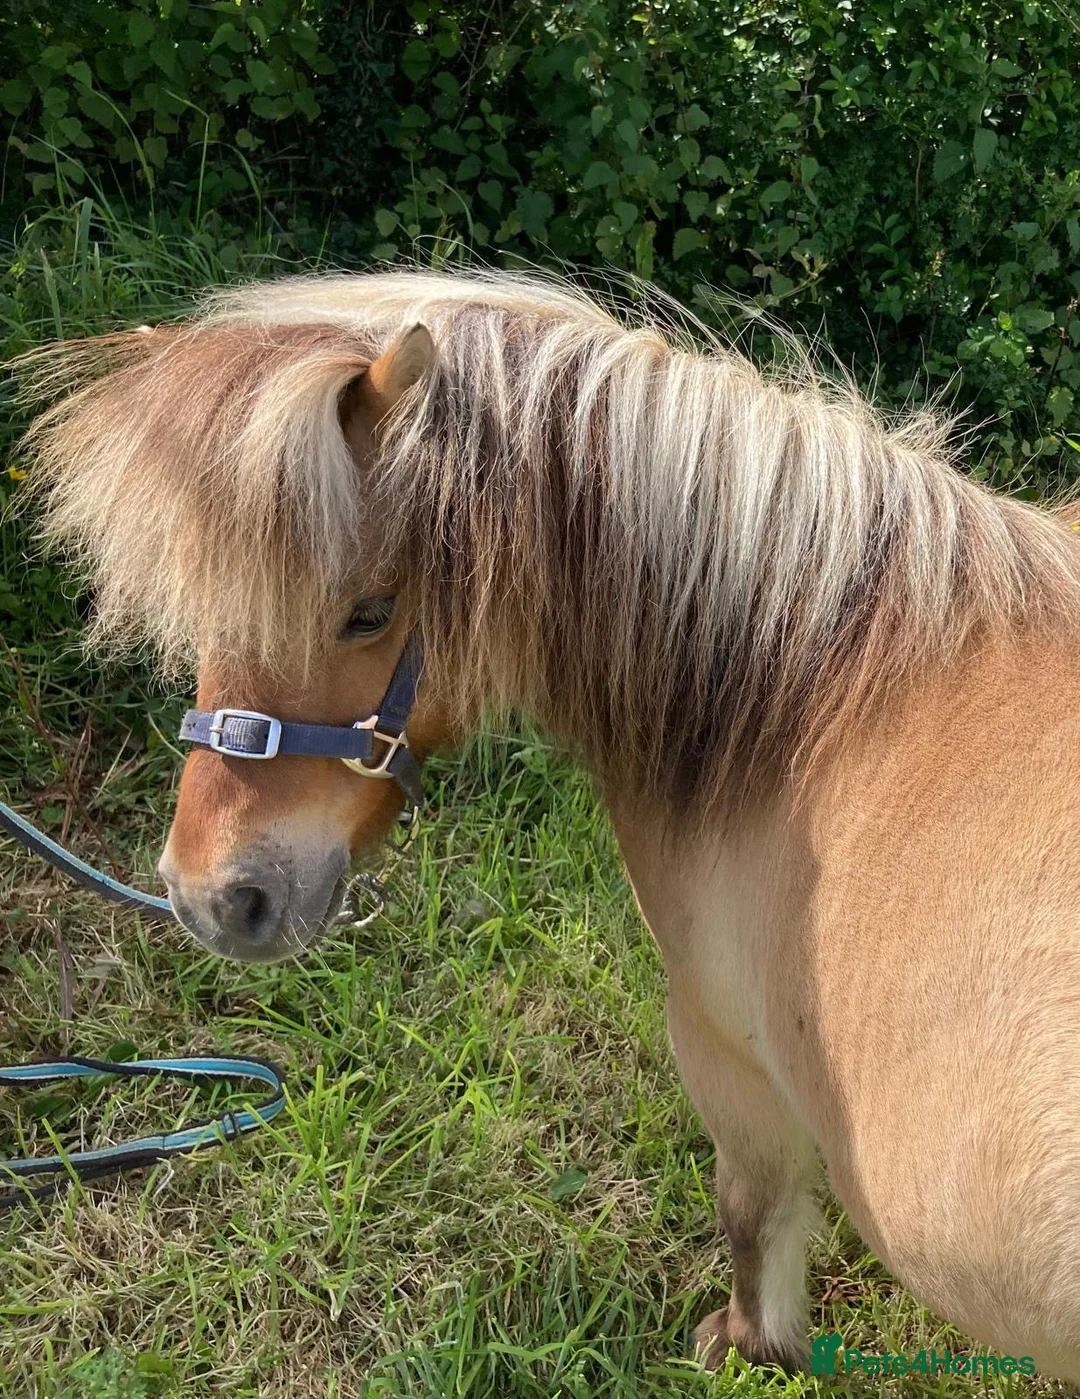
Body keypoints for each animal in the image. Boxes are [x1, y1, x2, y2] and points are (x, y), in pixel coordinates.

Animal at [17, 268, 1080, 1379]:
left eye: (370, 611)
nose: (211, 895)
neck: (820, 683)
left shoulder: (727, 1054)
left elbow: (752, 1212)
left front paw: (751, 1342)